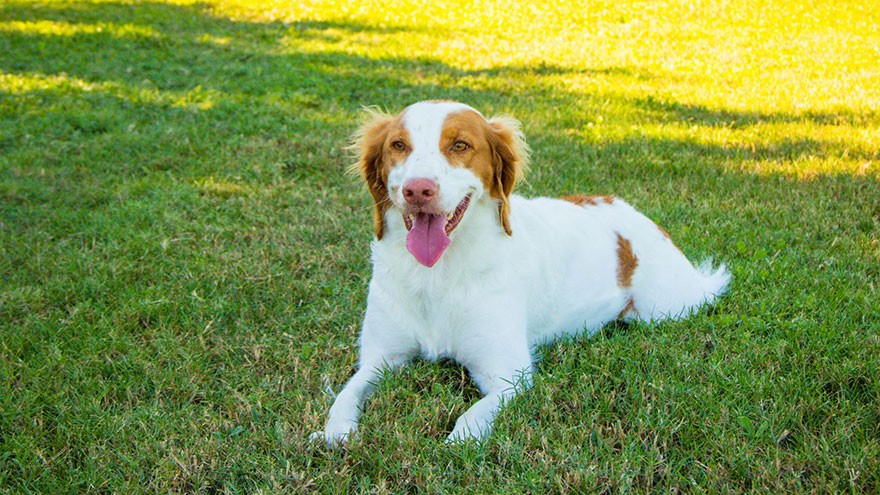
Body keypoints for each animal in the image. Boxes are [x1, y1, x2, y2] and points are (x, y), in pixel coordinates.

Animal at [310, 100, 728, 446]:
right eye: (398, 145)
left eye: (459, 145)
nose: (418, 190)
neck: (438, 273)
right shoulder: (381, 357)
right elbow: (345, 396)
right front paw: (335, 431)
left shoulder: (510, 375)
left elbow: (470, 421)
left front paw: (458, 442)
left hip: (663, 308)